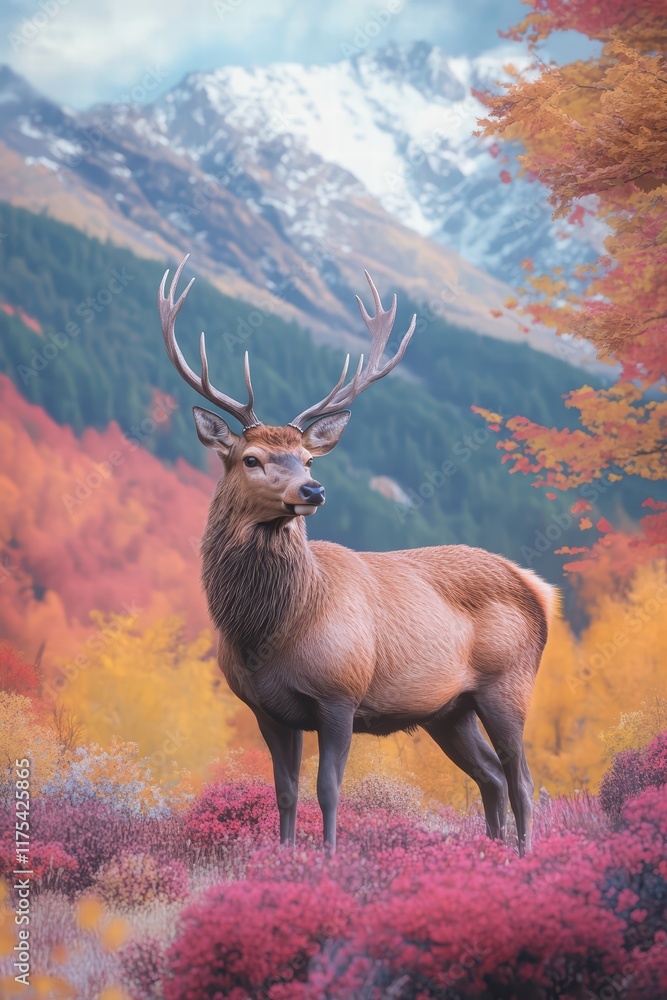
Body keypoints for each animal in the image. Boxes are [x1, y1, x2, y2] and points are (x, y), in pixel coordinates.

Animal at [158, 255, 557, 856]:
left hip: (509, 683)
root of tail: (537, 587)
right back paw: (492, 853)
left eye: (308, 459)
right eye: (251, 458)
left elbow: (328, 790)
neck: (270, 630)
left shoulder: (340, 694)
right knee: (489, 776)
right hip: (448, 710)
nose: (314, 490)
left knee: (522, 779)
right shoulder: (266, 709)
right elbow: (284, 793)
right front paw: (285, 858)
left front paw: (327, 860)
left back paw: (526, 857)